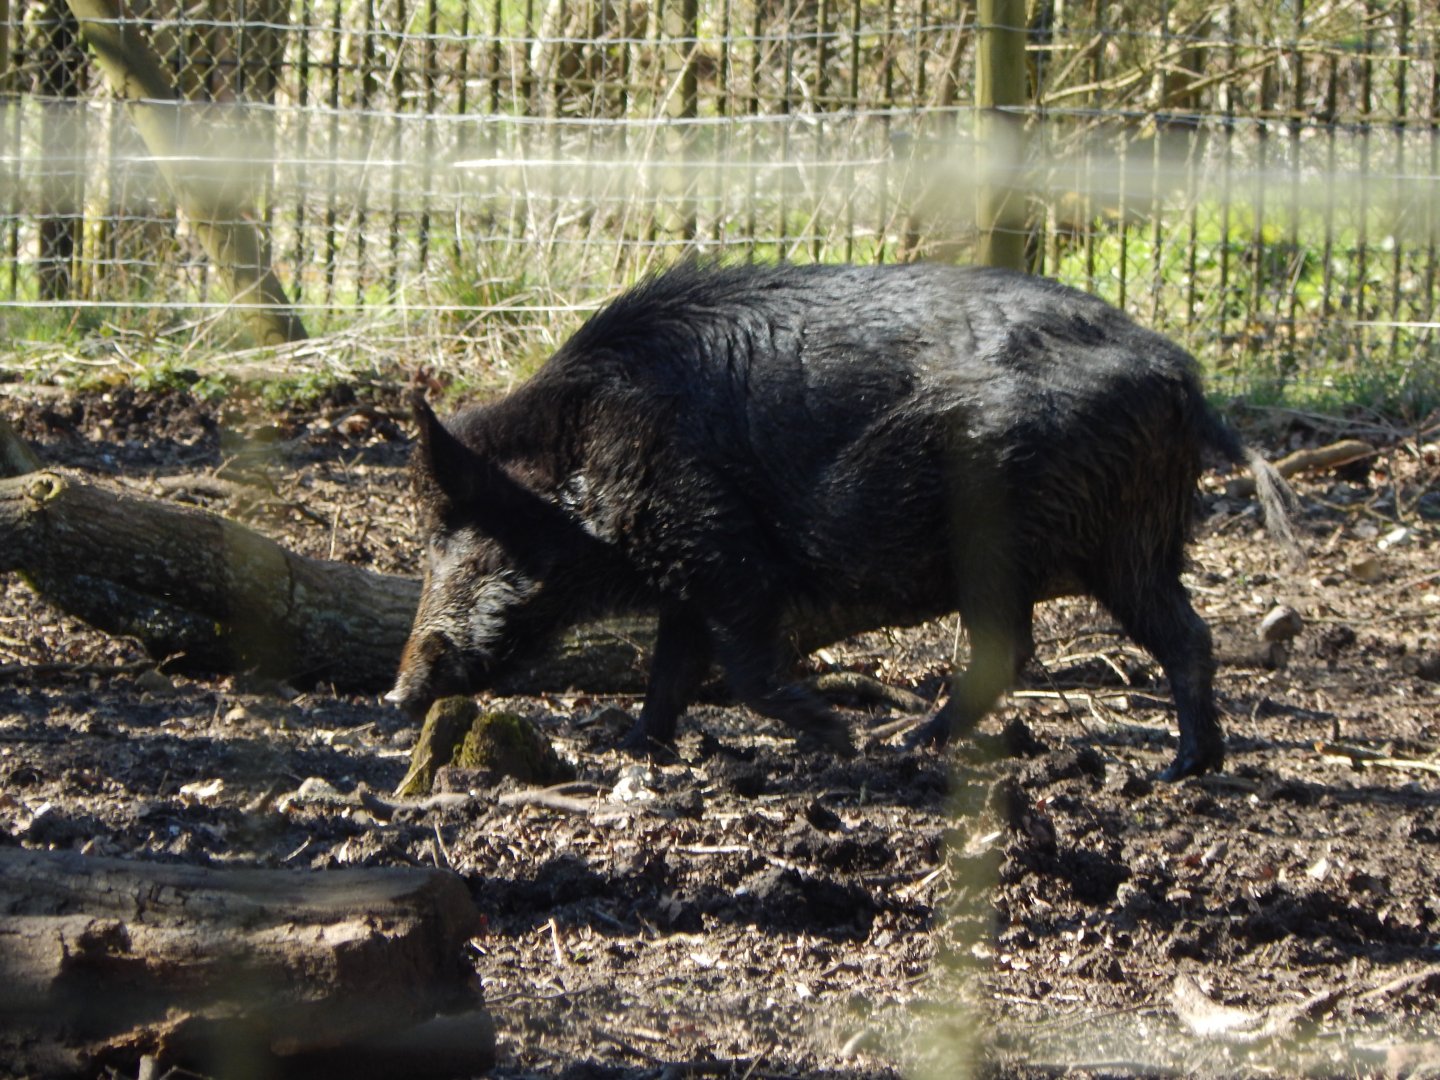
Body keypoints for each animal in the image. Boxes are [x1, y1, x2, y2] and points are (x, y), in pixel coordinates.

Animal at [386, 261, 1300, 779]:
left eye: (460, 538)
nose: (399, 692)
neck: (591, 455)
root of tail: (1183, 378)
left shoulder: (721, 547)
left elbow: (743, 667)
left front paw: (833, 739)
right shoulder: (687, 575)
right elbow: (670, 670)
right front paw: (639, 746)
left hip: (1040, 540)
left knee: (1030, 648)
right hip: (1130, 542)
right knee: (1171, 634)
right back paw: (1185, 765)